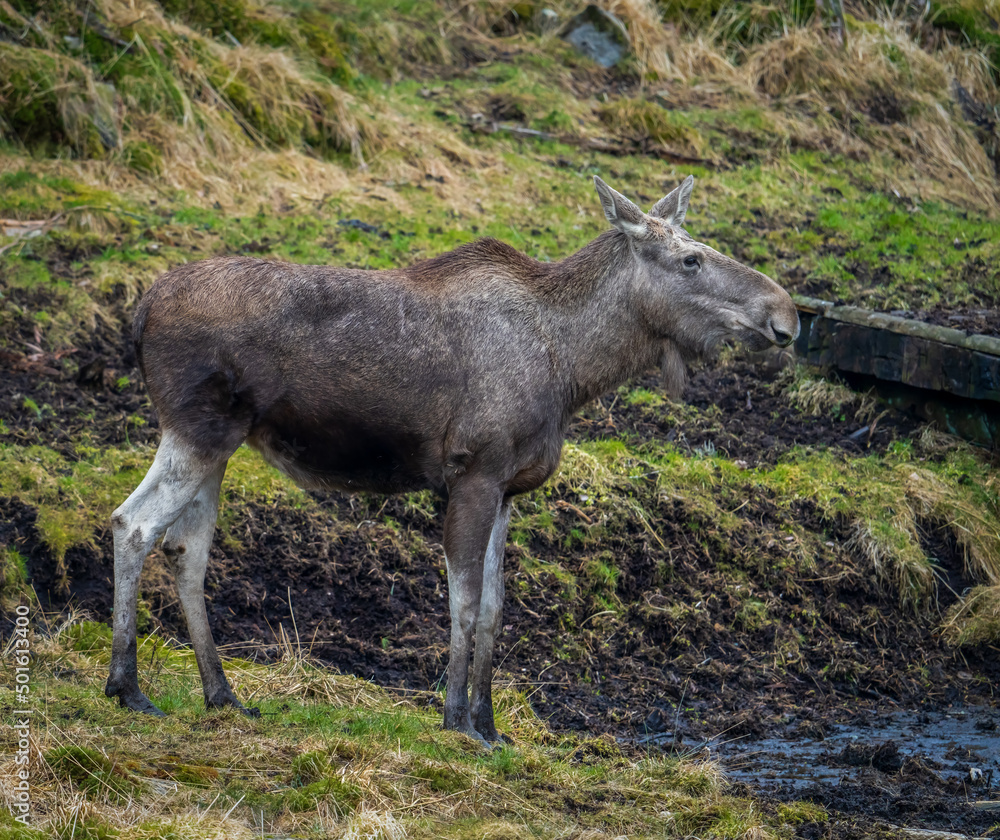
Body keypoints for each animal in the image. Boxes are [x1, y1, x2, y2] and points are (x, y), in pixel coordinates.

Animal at [105, 176, 800, 740]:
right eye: (691, 259)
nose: (786, 316)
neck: (574, 367)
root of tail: (139, 312)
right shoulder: (473, 473)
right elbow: (462, 604)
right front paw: (456, 719)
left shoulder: (509, 489)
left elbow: (493, 609)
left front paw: (491, 726)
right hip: (197, 428)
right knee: (132, 523)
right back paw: (127, 687)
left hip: (217, 443)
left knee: (186, 549)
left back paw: (221, 695)